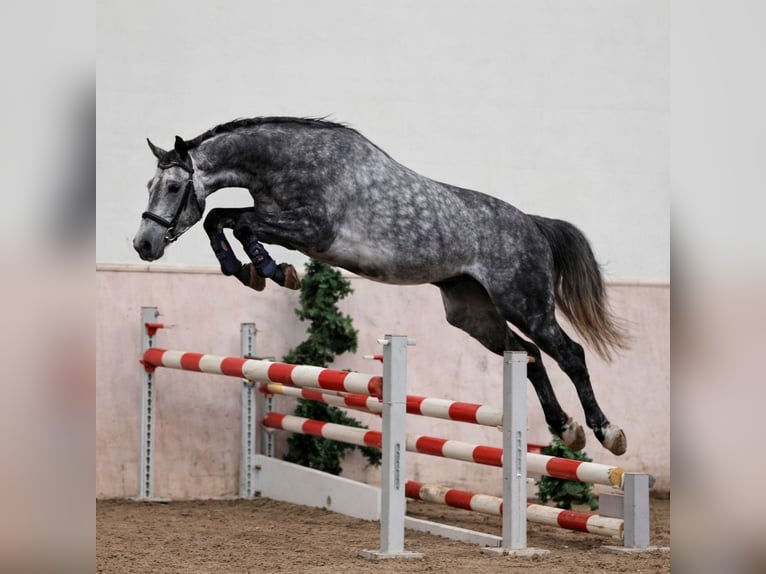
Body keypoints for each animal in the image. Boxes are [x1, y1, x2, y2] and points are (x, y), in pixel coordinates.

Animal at [133, 117, 629, 455]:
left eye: (174, 187)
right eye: (149, 183)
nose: (144, 244)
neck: (287, 162)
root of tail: (533, 225)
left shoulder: (311, 230)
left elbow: (236, 222)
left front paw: (272, 270)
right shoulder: (280, 222)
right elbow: (222, 220)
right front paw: (252, 272)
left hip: (525, 304)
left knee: (568, 354)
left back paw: (606, 432)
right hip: (473, 315)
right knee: (528, 357)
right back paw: (566, 428)